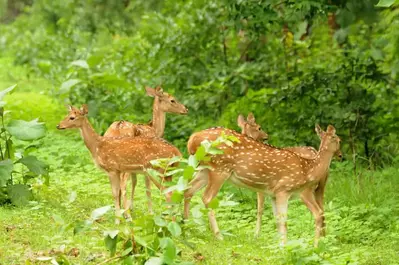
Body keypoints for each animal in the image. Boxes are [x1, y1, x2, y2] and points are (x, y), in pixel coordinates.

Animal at [185, 124, 344, 245]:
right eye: (338, 139)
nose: (341, 155)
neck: (307, 170)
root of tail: (192, 139)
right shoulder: (283, 189)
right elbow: (284, 221)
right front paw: (284, 247)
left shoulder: (273, 194)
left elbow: (278, 220)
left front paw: (280, 246)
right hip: (219, 168)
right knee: (207, 198)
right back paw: (218, 236)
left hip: (204, 169)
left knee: (188, 190)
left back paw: (186, 225)